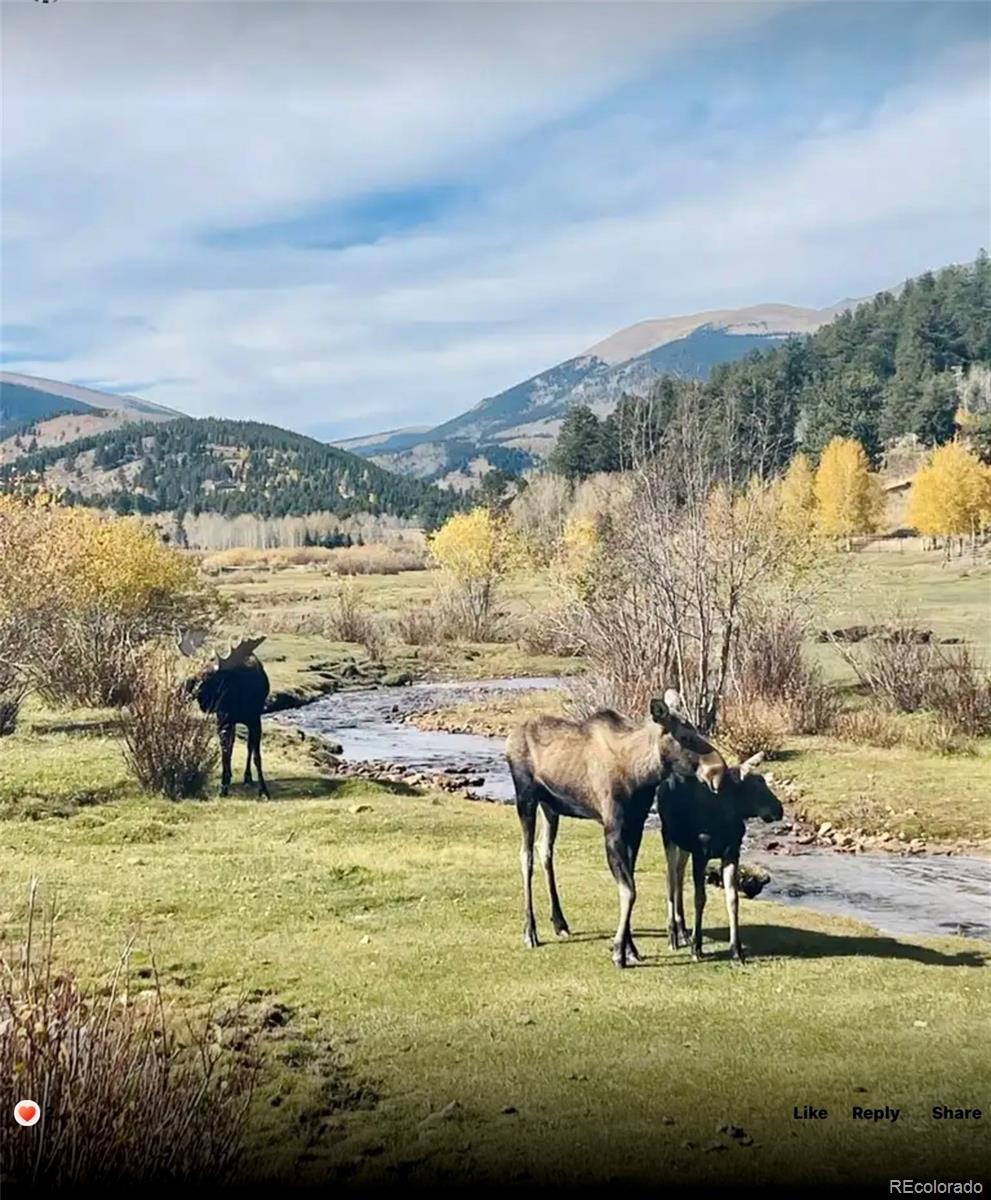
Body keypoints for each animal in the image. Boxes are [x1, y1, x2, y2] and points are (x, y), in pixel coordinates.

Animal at [177, 633, 269, 801]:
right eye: (196, 672)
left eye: (209, 676)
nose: (185, 690)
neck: (237, 698)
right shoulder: (223, 719)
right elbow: (226, 751)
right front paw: (223, 787)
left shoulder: (254, 719)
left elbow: (256, 756)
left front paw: (264, 790)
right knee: (231, 746)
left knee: (249, 746)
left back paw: (247, 777)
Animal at [506, 696, 719, 964]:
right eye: (685, 737)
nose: (715, 767)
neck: (641, 776)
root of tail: (509, 738)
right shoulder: (612, 827)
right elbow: (629, 890)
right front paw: (620, 950)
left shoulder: (635, 826)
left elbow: (630, 883)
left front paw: (630, 948)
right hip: (525, 798)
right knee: (526, 856)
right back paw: (530, 931)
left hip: (550, 806)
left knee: (544, 849)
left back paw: (559, 921)